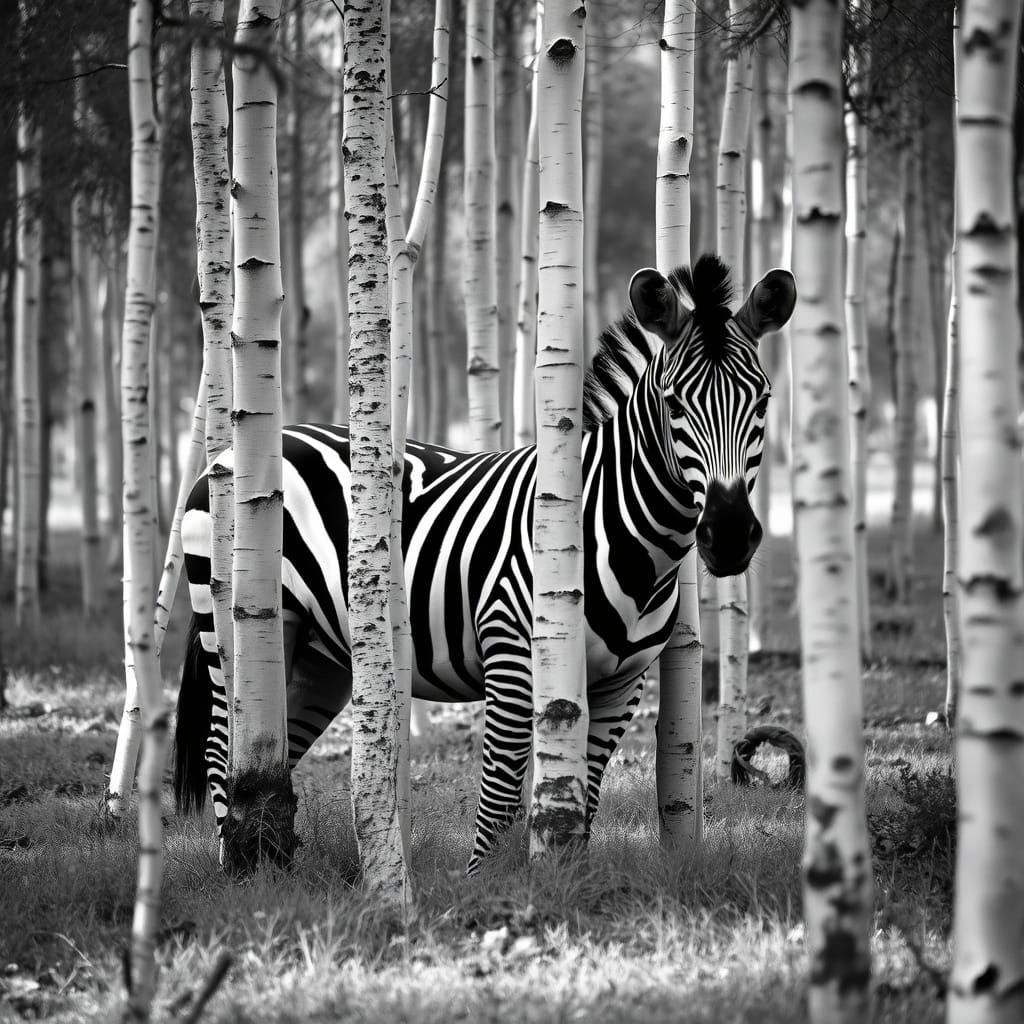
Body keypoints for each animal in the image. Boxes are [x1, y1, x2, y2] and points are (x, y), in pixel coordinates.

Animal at [173, 254, 796, 873]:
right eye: (672, 404)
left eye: (765, 401)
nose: (730, 536)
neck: (626, 538)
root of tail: (227, 455)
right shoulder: (511, 656)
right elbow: (498, 796)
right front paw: (481, 885)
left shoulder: (622, 684)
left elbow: (585, 796)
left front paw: (567, 879)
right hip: (235, 628)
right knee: (220, 745)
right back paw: (239, 872)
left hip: (319, 653)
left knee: (278, 742)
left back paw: (272, 867)